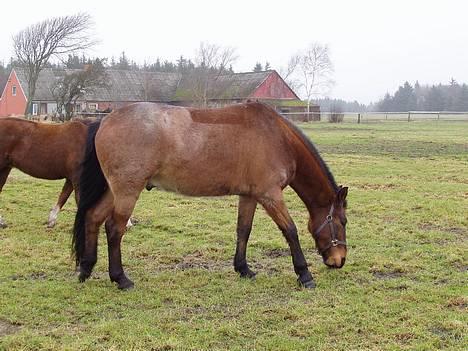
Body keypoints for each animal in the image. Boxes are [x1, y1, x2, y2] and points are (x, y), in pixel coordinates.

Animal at [74, 102, 348, 292]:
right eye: (342, 222)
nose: (340, 260)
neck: (278, 138)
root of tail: (105, 120)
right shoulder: (270, 195)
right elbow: (290, 231)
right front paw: (304, 275)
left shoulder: (250, 195)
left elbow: (243, 230)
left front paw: (243, 268)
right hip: (127, 191)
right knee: (114, 228)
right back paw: (121, 278)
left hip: (114, 190)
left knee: (93, 218)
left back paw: (86, 268)